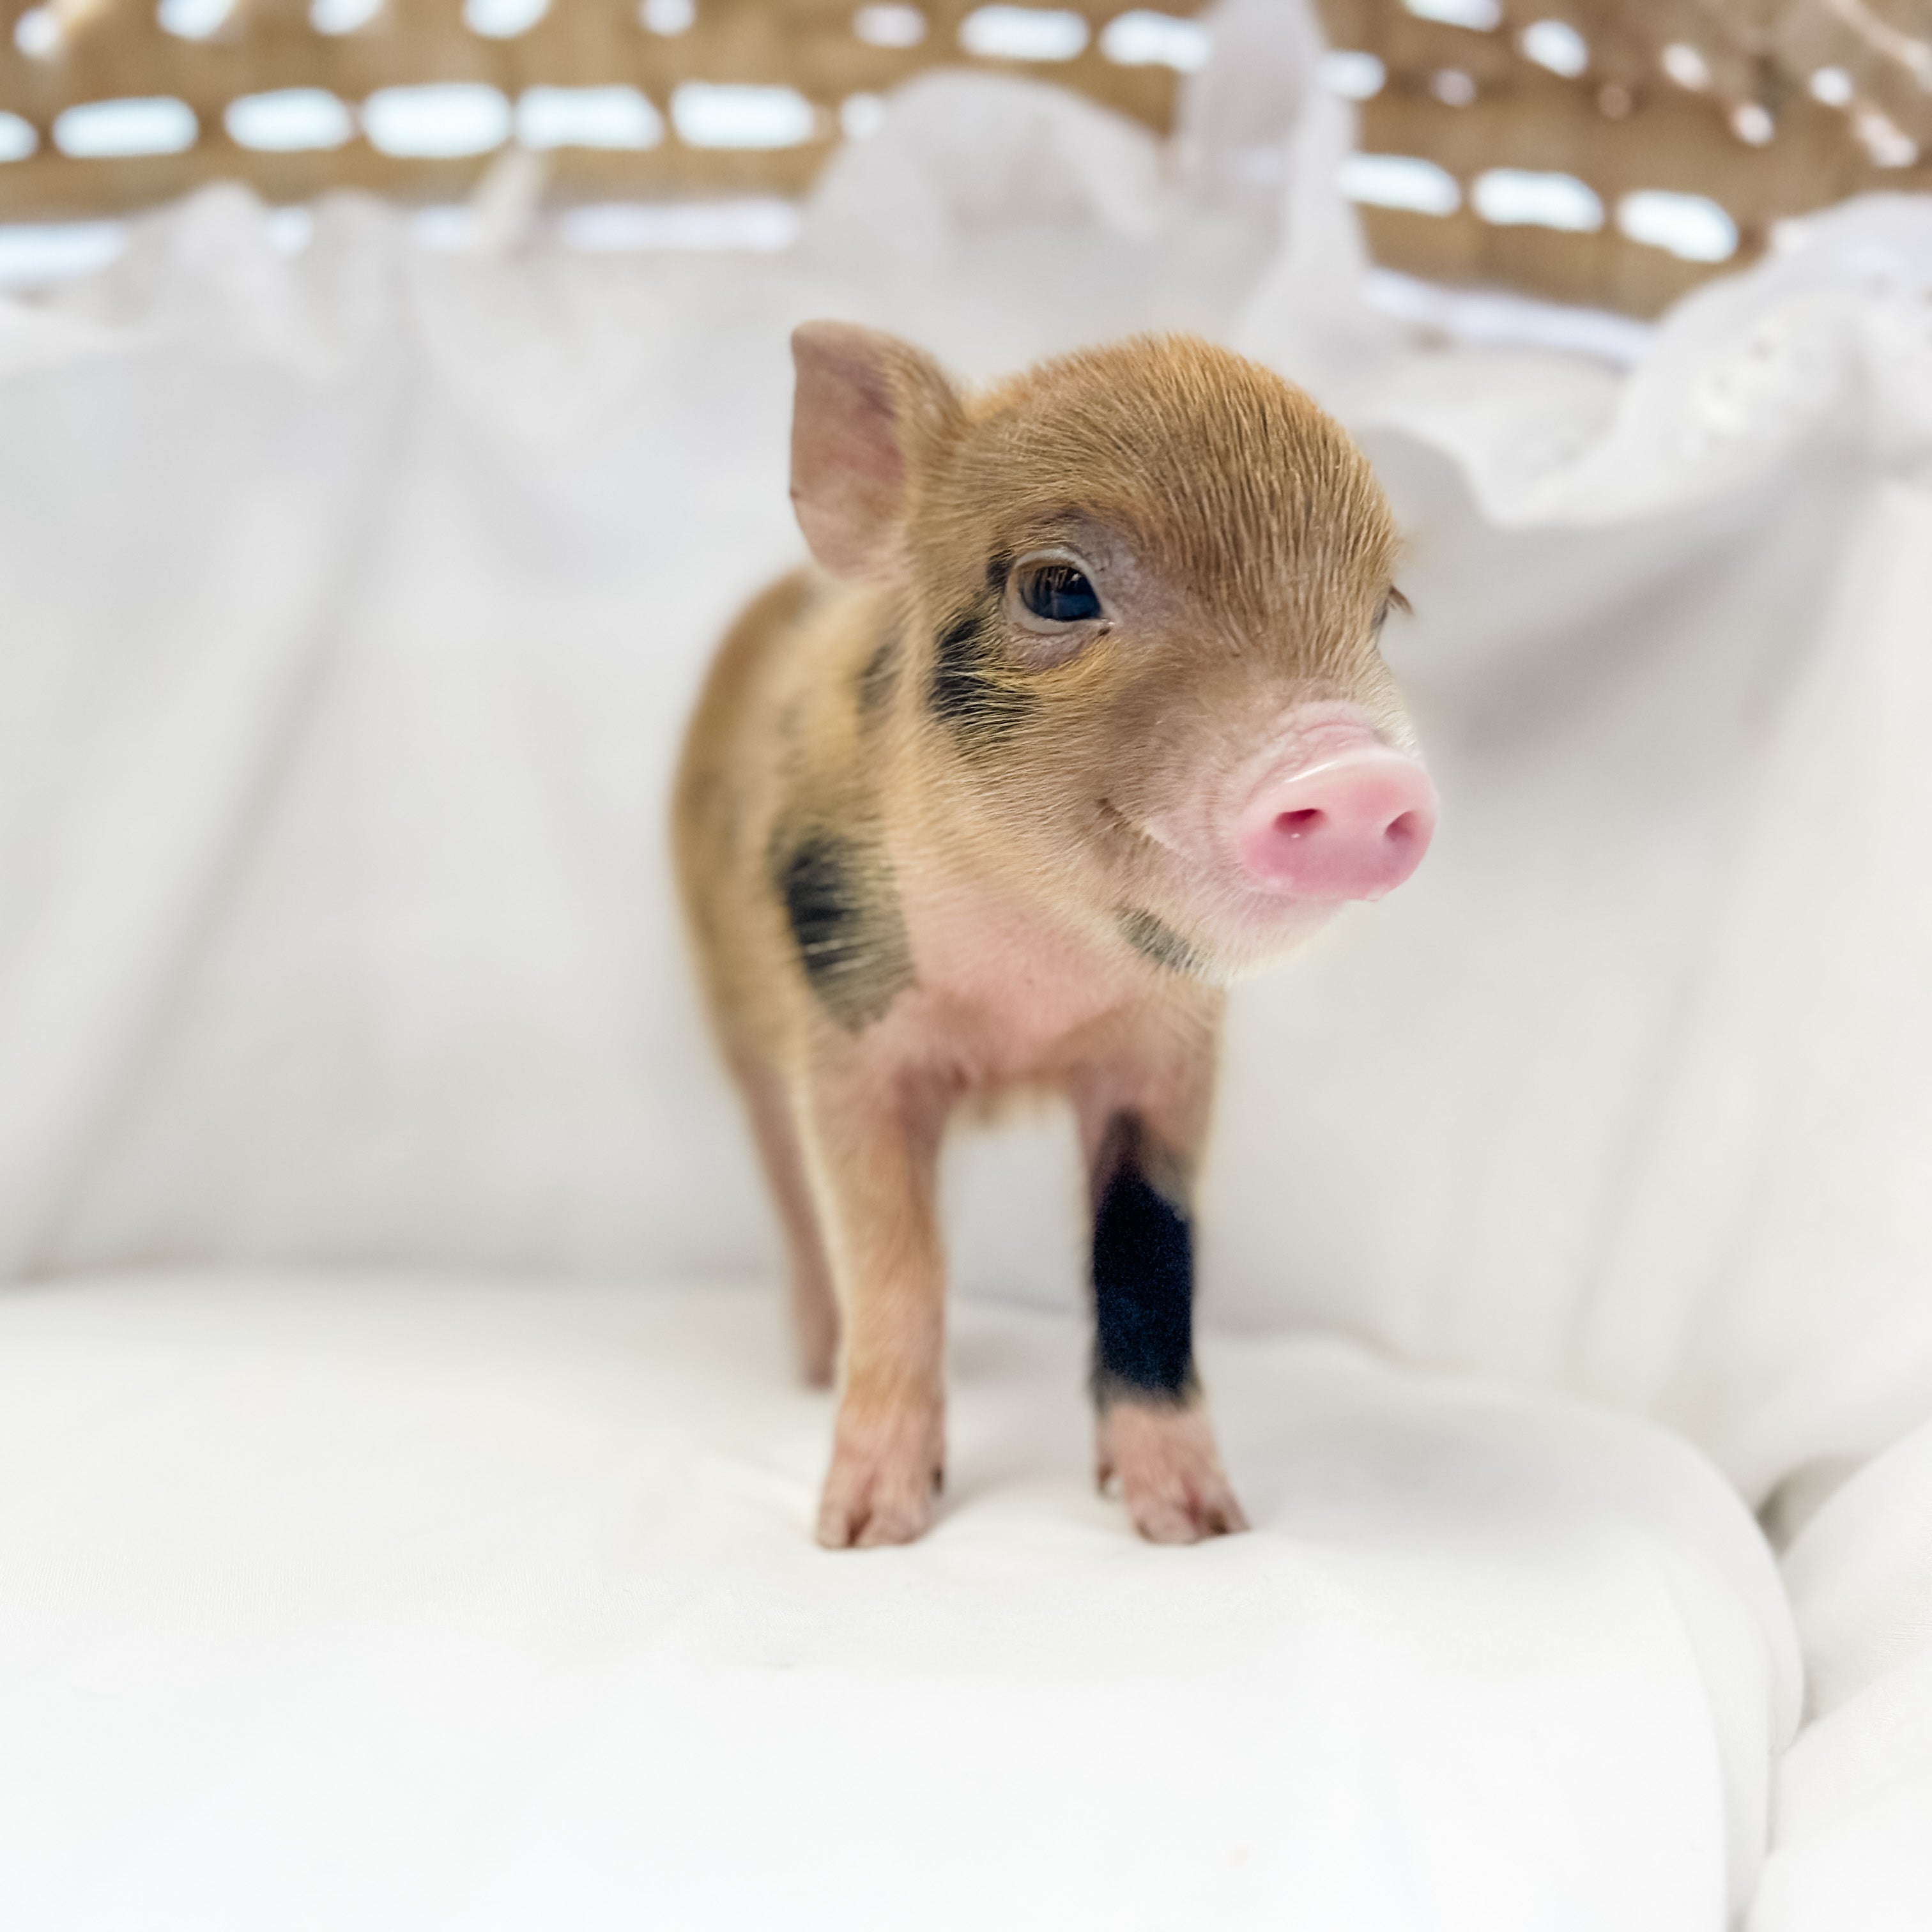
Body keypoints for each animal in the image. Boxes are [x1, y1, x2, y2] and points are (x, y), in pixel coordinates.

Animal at [673, 324, 1434, 1548]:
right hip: (735, 1018)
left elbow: (1148, 1261)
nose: (1357, 771)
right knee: (793, 1196)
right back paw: (807, 1366)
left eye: (1377, 614)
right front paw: (863, 1532)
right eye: (1058, 588)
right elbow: (891, 1264)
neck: (1024, 1005)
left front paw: (1199, 1527)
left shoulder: (1166, 1058)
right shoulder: (847, 1031)